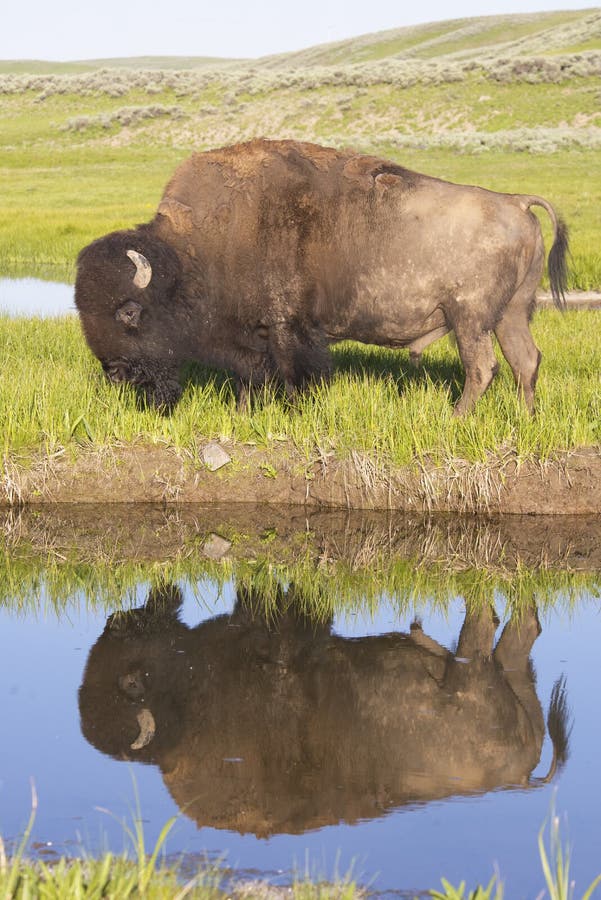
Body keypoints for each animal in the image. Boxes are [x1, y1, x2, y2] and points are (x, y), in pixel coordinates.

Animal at [75, 139, 568, 414]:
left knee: (482, 367)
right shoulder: (255, 334)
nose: (116, 373)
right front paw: (243, 414)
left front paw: (293, 412)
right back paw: (526, 418)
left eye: (130, 312)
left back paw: (456, 417)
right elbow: (250, 377)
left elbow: (293, 373)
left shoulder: (288, 327)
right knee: (525, 361)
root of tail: (515, 202)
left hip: (469, 319)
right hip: (511, 315)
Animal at [79, 584, 570, 836]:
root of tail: (516, 776)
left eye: (128, 679)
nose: (115, 621)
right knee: (520, 631)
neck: (184, 710)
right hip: (514, 678)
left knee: (481, 631)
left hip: (474, 678)